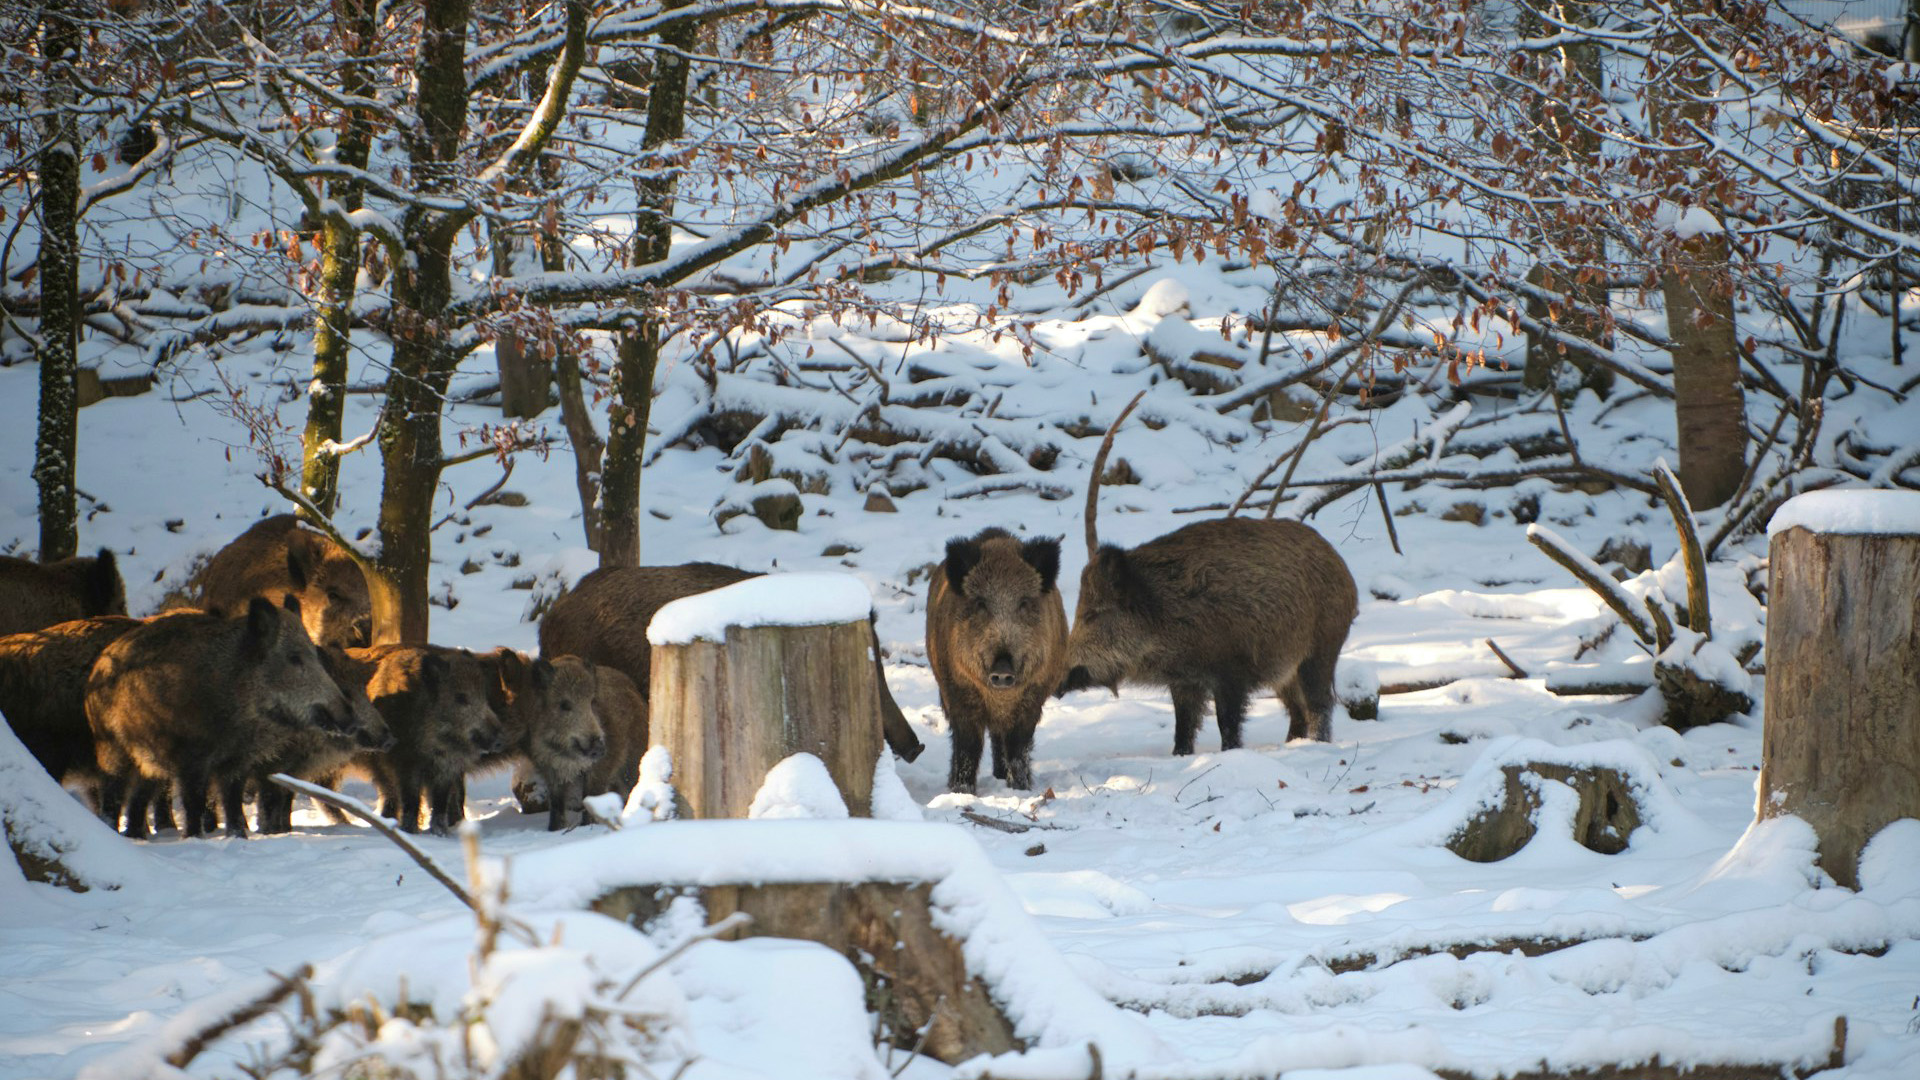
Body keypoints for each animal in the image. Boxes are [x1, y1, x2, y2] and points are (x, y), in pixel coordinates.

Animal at [86, 597, 359, 839]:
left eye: (314, 655)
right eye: (294, 658)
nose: (350, 717)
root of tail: (100, 664)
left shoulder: (237, 760)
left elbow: (232, 802)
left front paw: (238, 837)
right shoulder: (191, 758)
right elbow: (195, 802)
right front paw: (195, 838)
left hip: (148, 764)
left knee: (138, 799)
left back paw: (135, 836)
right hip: (111, 746)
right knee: (112, 794)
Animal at [926, 529, 1067, 792]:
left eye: (1023, 602)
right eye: (981, 603)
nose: (1002, 669)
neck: (1000, 698)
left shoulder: (1033, 698)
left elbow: (1018, 747)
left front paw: (1020, 789)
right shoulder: (959, 693)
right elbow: (968, 746)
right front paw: (962, 792)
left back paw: (1001, 776)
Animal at [1060, 517, 1357, 753]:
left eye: (1092, 615)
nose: (1058, 680)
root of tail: (1340, 564)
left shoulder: (1230, 672)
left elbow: (1226, 720)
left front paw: (1230, 753)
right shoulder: (1185, 680)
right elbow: (1184, 721)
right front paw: (1180, 755)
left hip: (1321, 649)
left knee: (1319, 702)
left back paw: (1317, 744)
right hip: (1283, 670)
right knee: (1296, 708)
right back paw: (1291, 744)